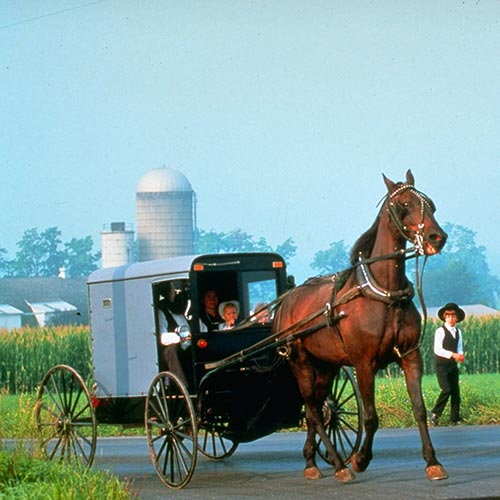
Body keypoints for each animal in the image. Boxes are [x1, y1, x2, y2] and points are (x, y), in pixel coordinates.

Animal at [274, 170, 450, 482]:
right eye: (404, 204)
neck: (384, 295)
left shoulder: (410, 356)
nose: (436, 237)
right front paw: (360, 459)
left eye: (430, 204)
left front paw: (432, 461)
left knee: (318, 408)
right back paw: (340, 465)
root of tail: (287, 299)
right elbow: (370, 417)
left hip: (326, 366)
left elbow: (419, 408)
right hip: (300, 362)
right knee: (313, 411)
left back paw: (311, 461)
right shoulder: (363, 362)